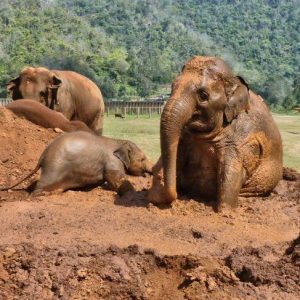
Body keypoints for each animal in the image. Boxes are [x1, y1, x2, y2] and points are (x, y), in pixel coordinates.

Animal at [1, 131, 152, 195]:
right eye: (143, 159)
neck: (118, 141)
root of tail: (42, 155)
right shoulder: (113, 162)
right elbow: (115, 178)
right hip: (54, 168)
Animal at [149, 56, 282, 211]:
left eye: (203, 95)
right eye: (172, 87)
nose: (175, 196)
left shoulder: (243, 141)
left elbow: (229, 175)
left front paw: (225, 212)